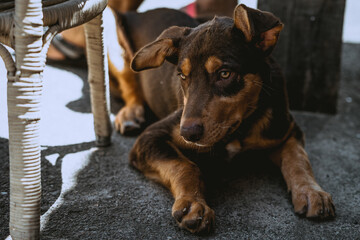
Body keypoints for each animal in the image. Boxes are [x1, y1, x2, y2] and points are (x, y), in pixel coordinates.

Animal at [112, 4, 334, 233]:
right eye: (182, 76)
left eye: (225, 74)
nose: (187, 134)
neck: (240, 128)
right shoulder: (151, 137)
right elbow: (185, 165)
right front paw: (192, 204)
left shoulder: (287, 129)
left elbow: (298, 158)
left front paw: (311, 192)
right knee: (129, 86)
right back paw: (131, 114)